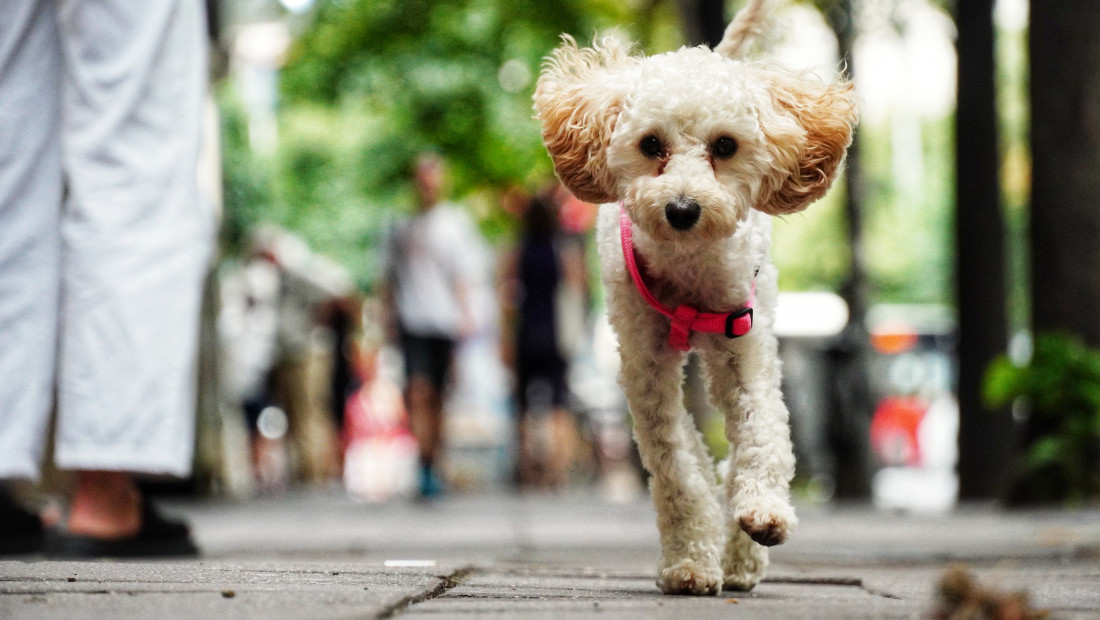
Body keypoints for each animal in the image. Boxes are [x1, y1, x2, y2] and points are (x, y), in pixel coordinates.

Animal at [532, 0, 858, 593]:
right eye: (651, 145)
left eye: (725, 145)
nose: (682, 209)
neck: (686, 273)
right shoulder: (645, 366)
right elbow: (677, 464)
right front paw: (688, 561)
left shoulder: (742, 342)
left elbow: (763, 427)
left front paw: (764, 512)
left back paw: (743, 557)